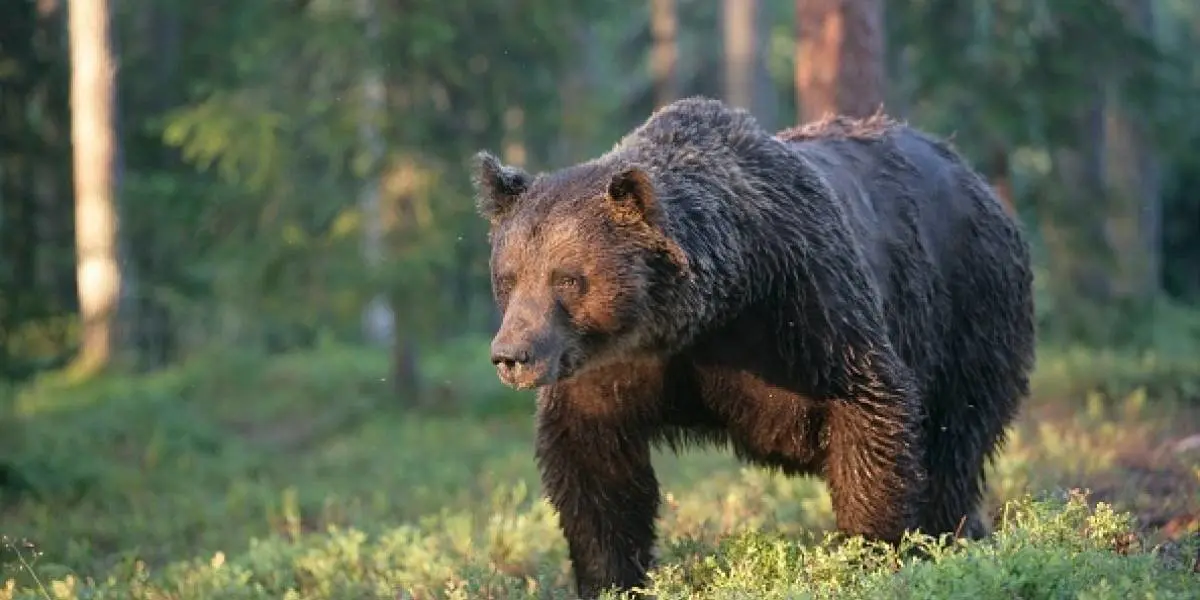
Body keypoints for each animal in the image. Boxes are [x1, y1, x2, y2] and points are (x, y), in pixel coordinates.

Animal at [471, 96, 1035, 599]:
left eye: (567, 279)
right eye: (509, 276)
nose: (511, 355)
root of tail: (973, 175)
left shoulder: (804, 302)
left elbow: (869, 408)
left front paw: (872, 550)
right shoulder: (613, 365)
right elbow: (593, 464)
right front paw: (610, 578)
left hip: (969, 309)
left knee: (956, 439)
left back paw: (953, 534)